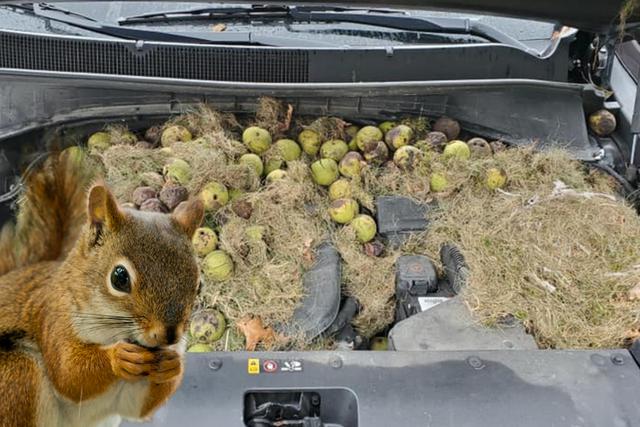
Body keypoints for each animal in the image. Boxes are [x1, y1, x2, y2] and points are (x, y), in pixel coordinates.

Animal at [0, 149, 204, 426]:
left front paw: (173, 364)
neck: (113, 331)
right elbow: (69, 373)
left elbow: (137, 408)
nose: (170, 335)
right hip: (17, 375)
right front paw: (118, 357)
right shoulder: (55, 319)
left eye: (199, 285)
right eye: (119, 278)